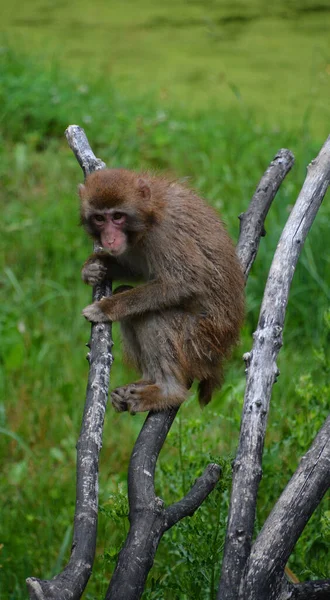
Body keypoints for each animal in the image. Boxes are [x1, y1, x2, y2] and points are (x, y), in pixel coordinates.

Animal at [79, 168, 245, 412]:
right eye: (99, 218)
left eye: (117, 217)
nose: (109, 239)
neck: (150, 214)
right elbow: (137, 270)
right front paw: (94, 267)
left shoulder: (165, 234)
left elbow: (185, 282)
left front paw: (106, 308)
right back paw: (147, 380)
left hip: (198, 344)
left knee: (152, 315)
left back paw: (168, 391)